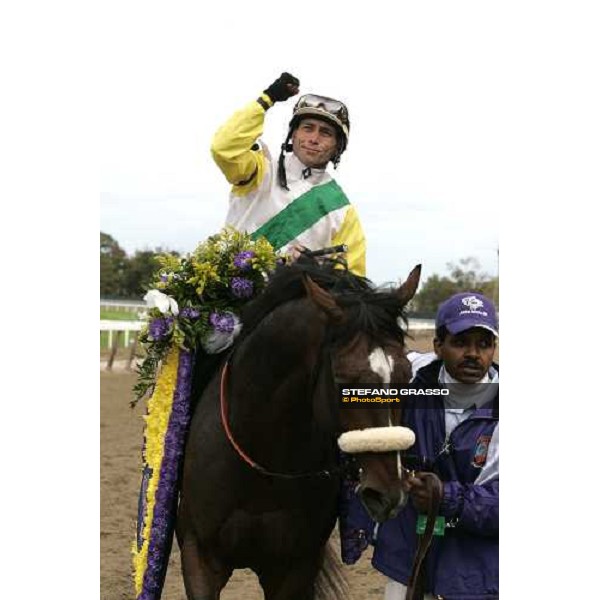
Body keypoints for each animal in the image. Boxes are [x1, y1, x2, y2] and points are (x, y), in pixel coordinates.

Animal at [178, 258, 420, 600]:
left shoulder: (294, 568)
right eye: (343, 379)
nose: (388, 494)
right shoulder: (199, 555)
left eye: (406, 375)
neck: (262, 464)